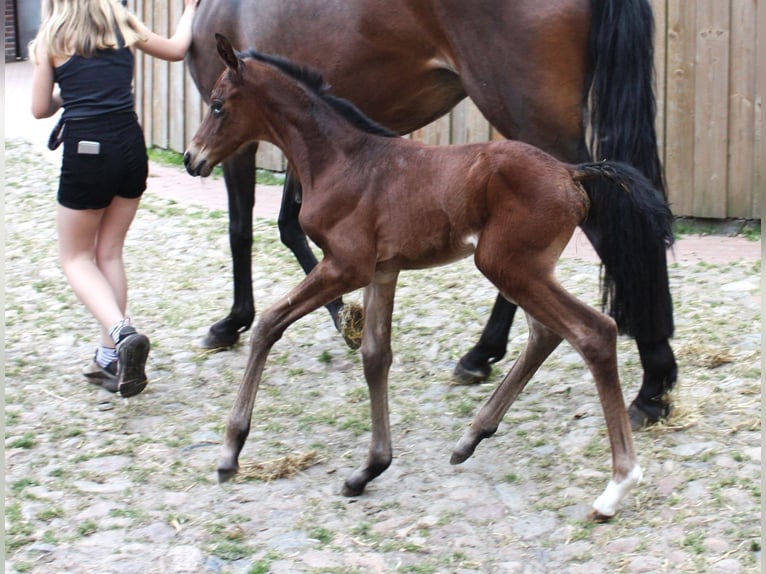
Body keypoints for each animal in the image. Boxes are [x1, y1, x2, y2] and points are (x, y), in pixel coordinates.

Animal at [184, 35, 672, 520]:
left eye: (218, 105)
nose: (192, 158)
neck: (343, 160)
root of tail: (571, 174)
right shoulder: (382, 271)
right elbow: (375, 356)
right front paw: (370, 469)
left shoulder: (345, 265)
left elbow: (269, 324)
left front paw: (230, 451)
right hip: (526, 269)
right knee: (546, 334)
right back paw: (471, 437)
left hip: (505, 265)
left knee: (592, 332)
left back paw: (617, 485)